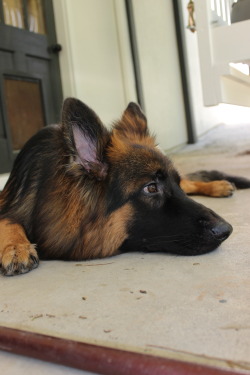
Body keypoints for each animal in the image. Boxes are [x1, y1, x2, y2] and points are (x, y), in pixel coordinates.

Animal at [0, 97, 234, 276]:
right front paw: (15, 247)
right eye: (151, 188)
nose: (226, 230)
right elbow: (8, 220)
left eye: (173, 184)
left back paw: (219, 186)